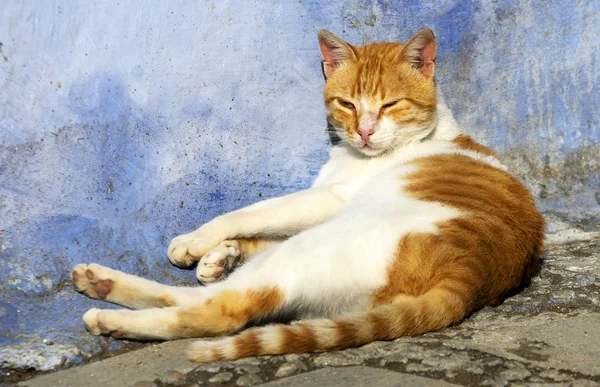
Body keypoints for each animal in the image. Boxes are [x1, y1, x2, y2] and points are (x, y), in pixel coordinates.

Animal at [70, 28, 544, 364]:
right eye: (347, 104)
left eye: (389, 105)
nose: (365, 131)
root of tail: (473, 275)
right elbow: (258, 230)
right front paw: (219, 255)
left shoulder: (328, 200)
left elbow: (255, 211)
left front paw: (199, 241)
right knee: (209, 297)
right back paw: (104, 282)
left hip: (319, 244)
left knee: (221, 311)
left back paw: (111, 316)